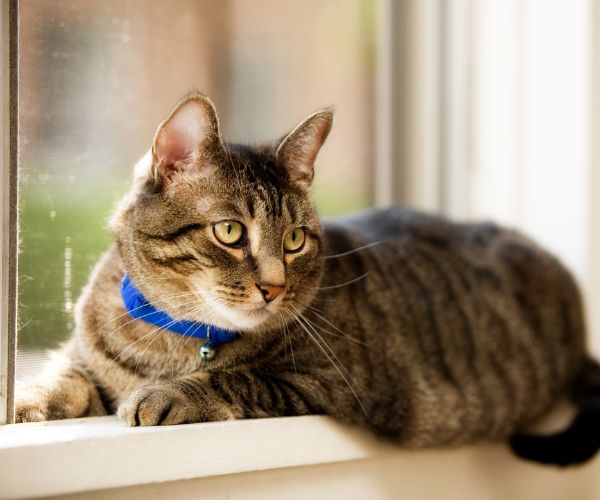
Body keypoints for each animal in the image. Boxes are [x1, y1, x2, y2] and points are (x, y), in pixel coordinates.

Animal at [14, 93, 600, 464]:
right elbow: (64, 374)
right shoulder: (83, 353)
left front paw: (169, 393)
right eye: (230, 231)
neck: (169, 339)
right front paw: (23, 399)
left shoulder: (331, 381)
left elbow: (237, 377)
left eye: (295, 240)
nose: (273, 287)